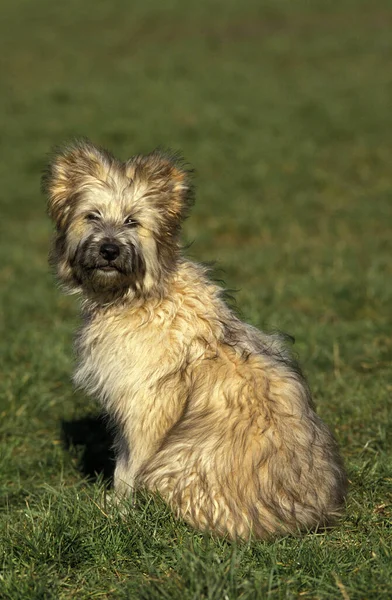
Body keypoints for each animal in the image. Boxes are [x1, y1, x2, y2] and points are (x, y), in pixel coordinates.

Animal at [43, 139, 346, 540]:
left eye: (132, 221)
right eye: (92, 216)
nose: (109, 249)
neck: (142, 294)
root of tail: (303, 520)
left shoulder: (145, 405)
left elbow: (128, 463)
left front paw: (119, 509)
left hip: (177, 463)